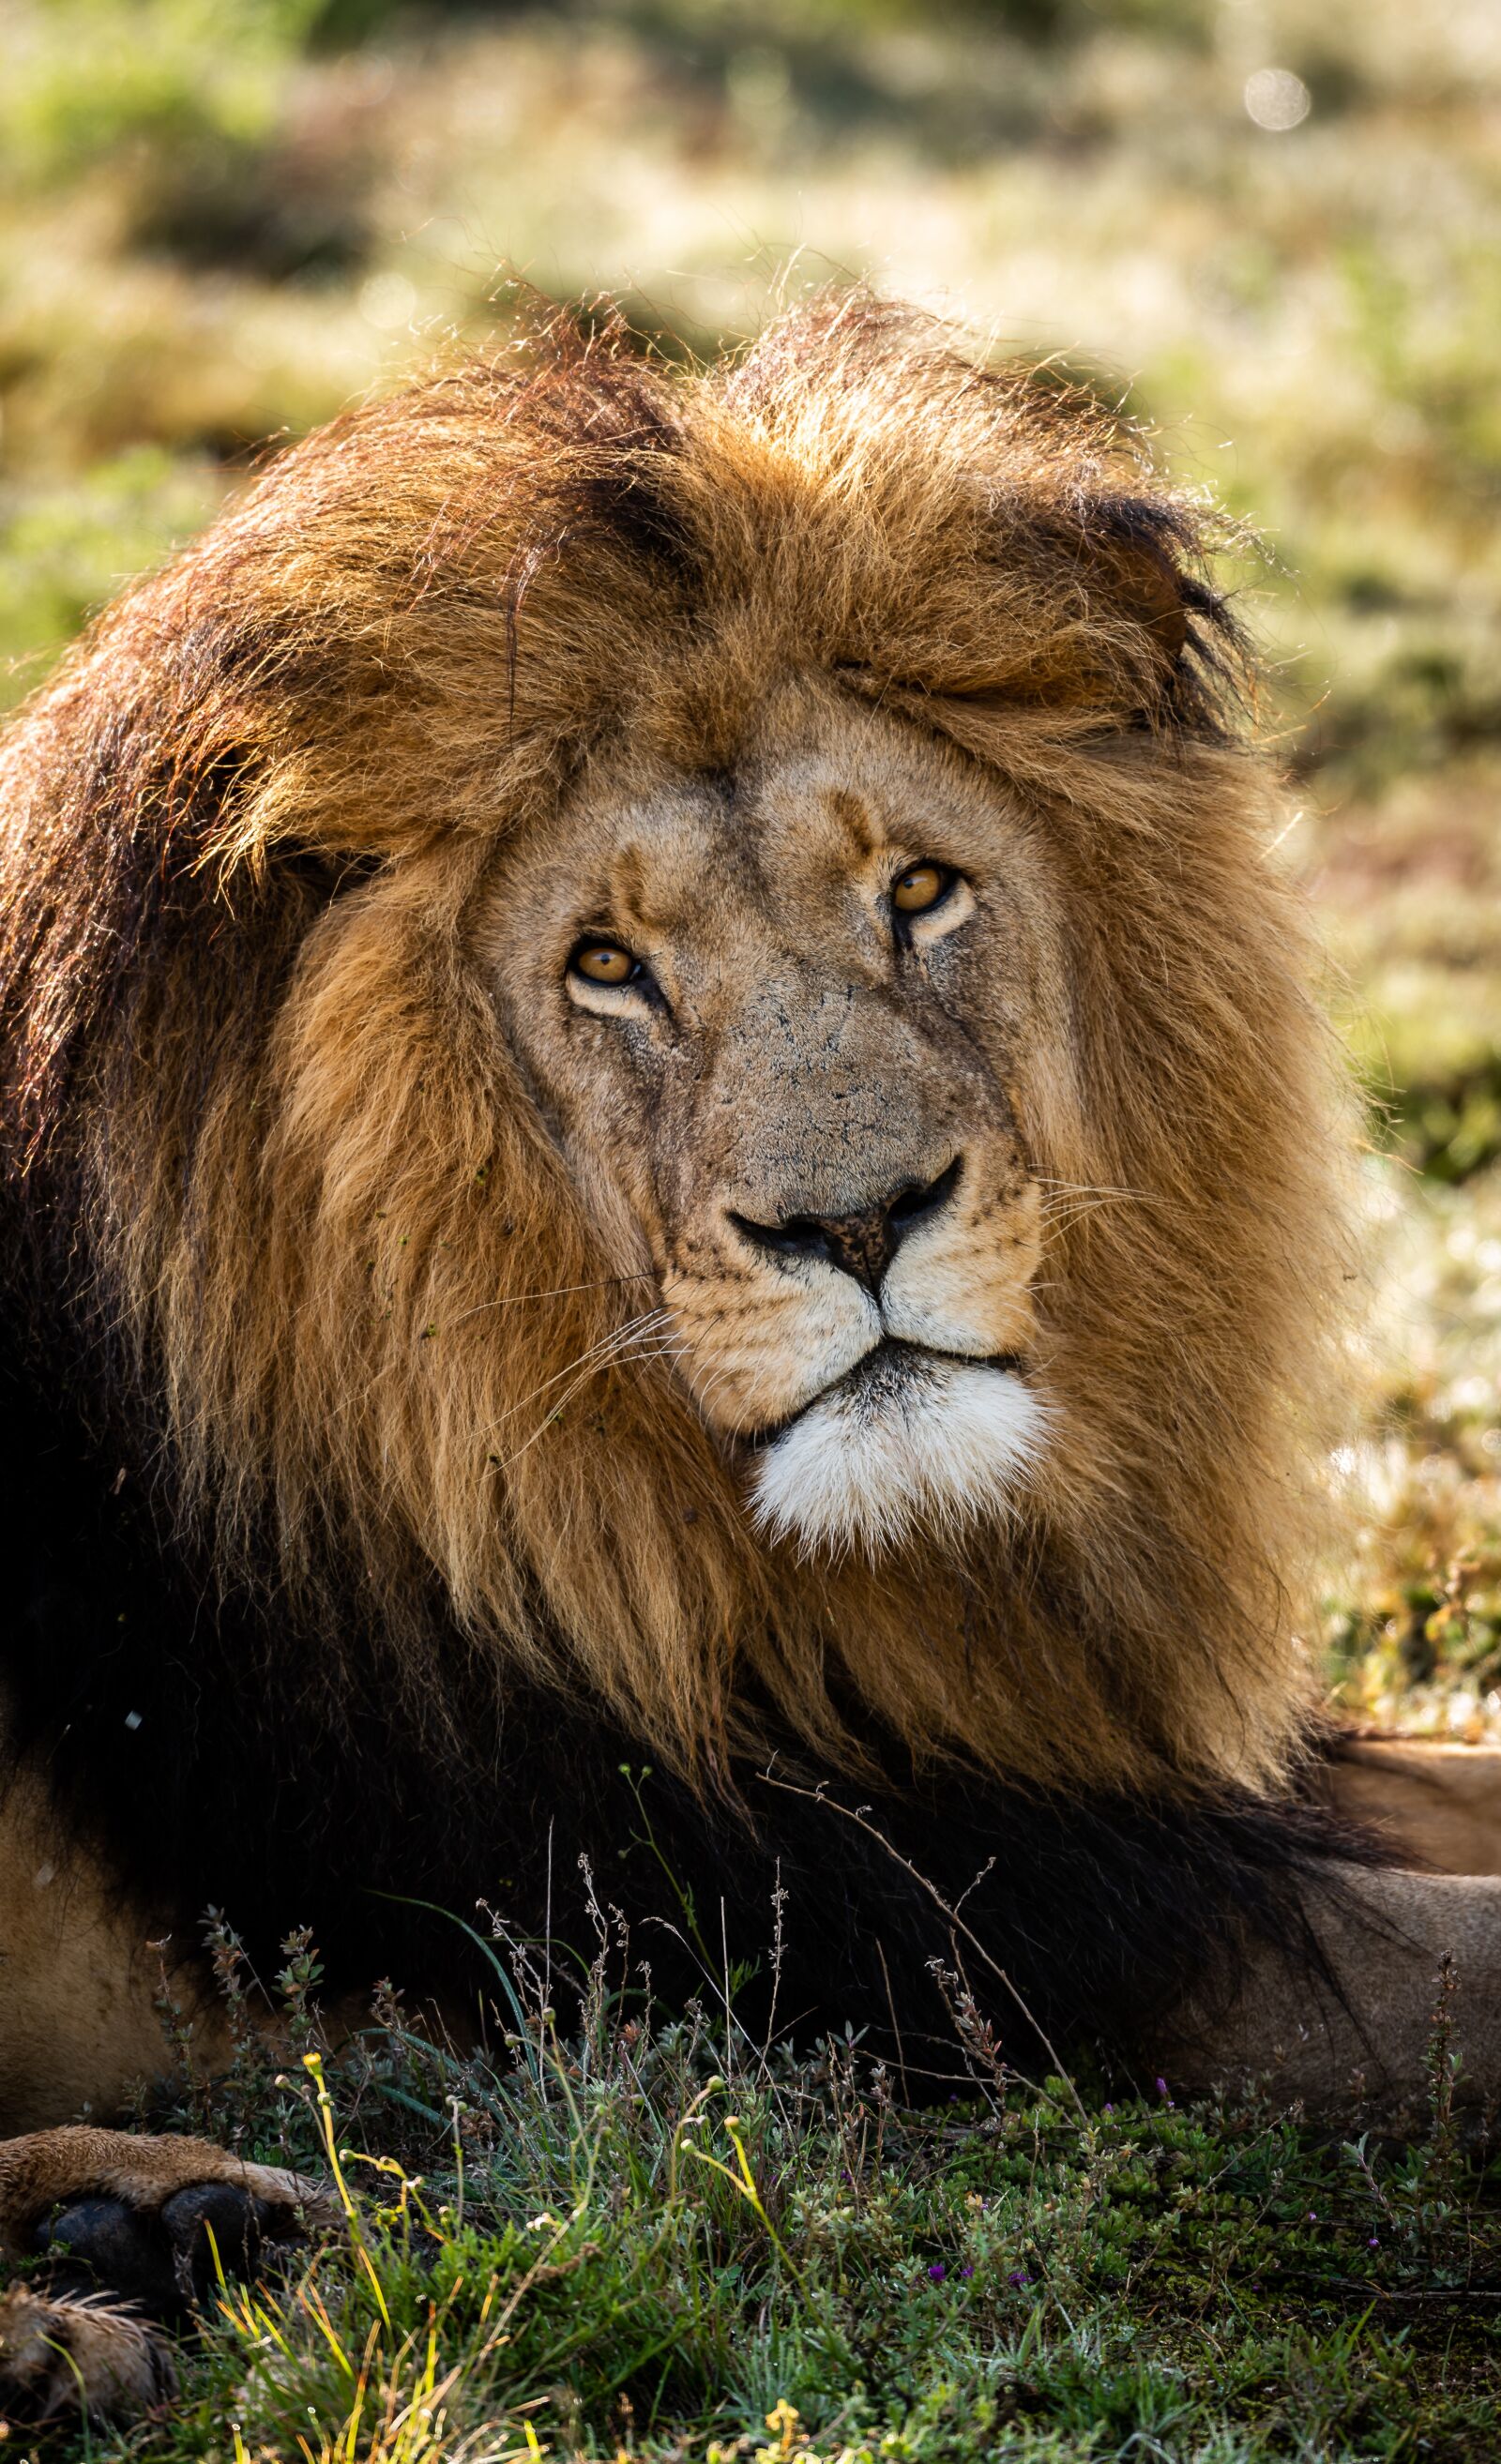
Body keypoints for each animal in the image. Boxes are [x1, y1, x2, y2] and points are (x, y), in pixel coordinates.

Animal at [1, 294, 1497, 2414]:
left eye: (919, 890)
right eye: (605, 966)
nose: (857, 1222)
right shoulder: (840, 1919)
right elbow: (1449, 1967)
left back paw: (166, 2221)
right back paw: (79, 2305)